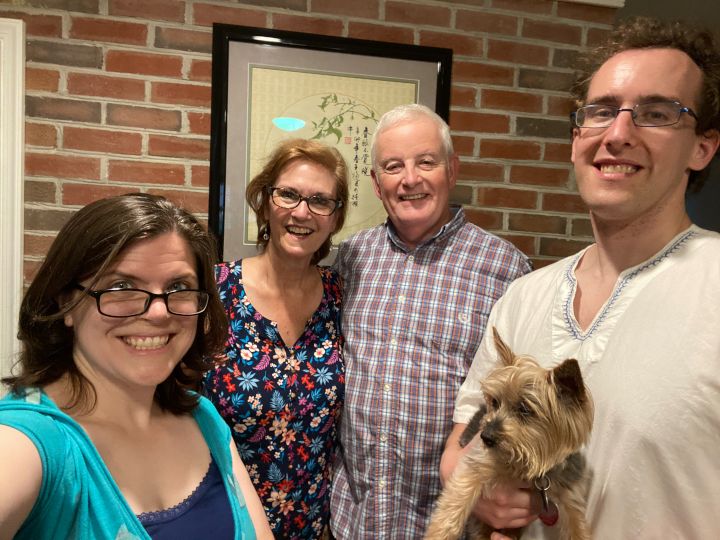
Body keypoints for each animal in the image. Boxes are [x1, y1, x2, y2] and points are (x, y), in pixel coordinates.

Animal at [425, 328, 593, 540]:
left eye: (524, 409)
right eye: (495, 402)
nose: (485, 436)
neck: (526, 461)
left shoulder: (569, 489)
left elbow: (577, 524)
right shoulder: (478, 464)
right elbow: (456, 500)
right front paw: (438, 533)